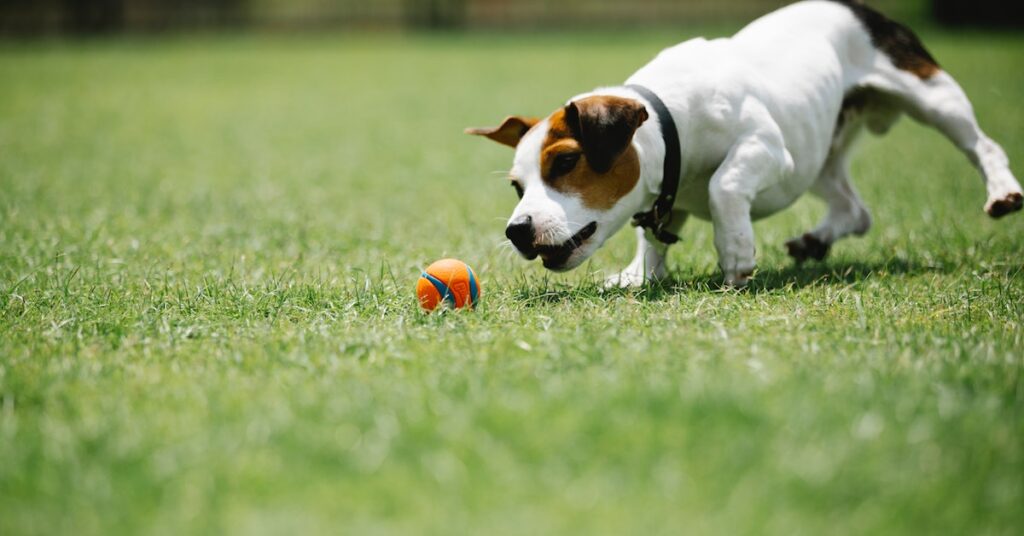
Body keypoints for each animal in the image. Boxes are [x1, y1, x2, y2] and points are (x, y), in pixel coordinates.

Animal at [468, 0, 1019, 286]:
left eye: (565, 163)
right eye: (517, 187)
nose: (517, 231)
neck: (670, 120)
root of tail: (857, 7)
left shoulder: (767, 149)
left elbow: (724, 186)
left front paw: (734, 252)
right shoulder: (667, 195)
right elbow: (652, 232)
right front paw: (640, 274)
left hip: (932, 96)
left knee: (982, 145)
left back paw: (1002, 192)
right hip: (816, 155)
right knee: (854, 209)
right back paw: (817, 239)